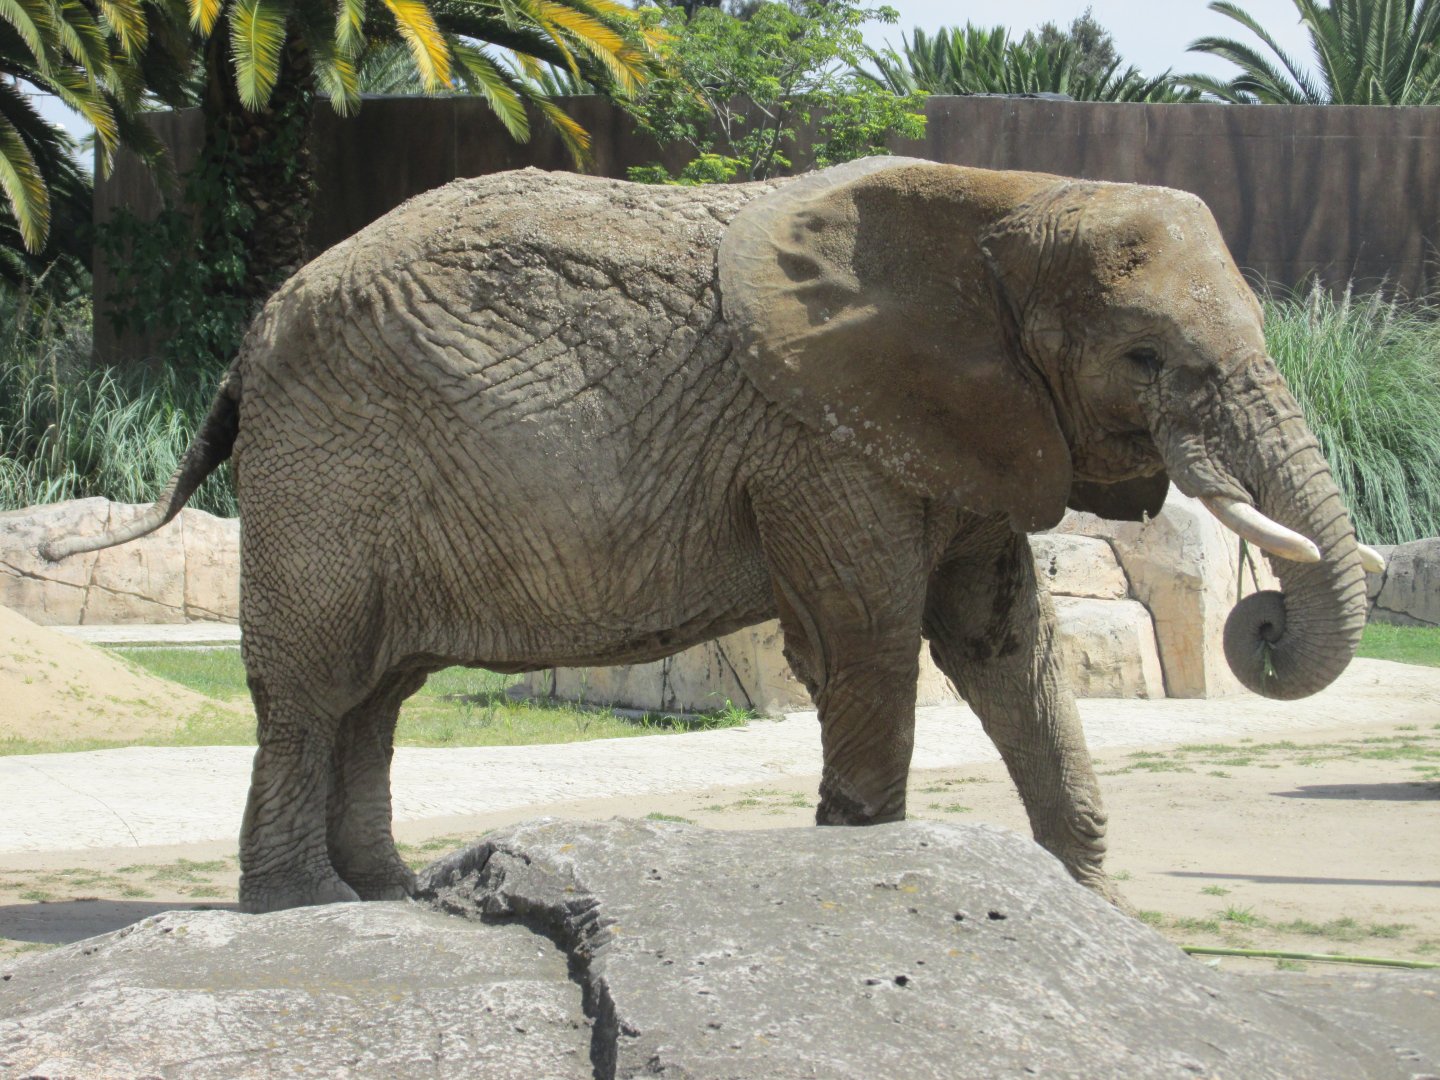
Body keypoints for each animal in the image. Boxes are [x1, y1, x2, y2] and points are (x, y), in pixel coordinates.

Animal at [46, 156, 1382, 915]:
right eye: (1146, 358)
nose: (1263, 620)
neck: (1009, 206)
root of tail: (250, 342)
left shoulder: (961, 428)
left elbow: (1006, 648)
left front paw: (1100, 915)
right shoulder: (822, 437)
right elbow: (868, 636)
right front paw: (870, 866)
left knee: (376, 694)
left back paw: (387, 896)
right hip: (327, 467)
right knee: (316, 688)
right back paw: (301, 908)